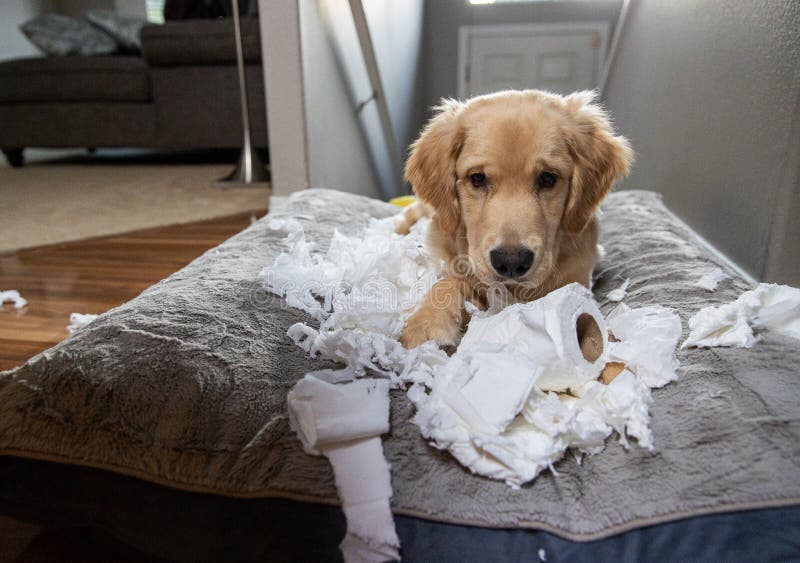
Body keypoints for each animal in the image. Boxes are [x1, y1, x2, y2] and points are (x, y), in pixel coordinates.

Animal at [400, 90, 632, 350]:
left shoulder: (577, 281)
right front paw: (426, 322)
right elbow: (449, 282)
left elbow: (589, 325)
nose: (511, 262)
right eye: (477, 178)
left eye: (548, 178)